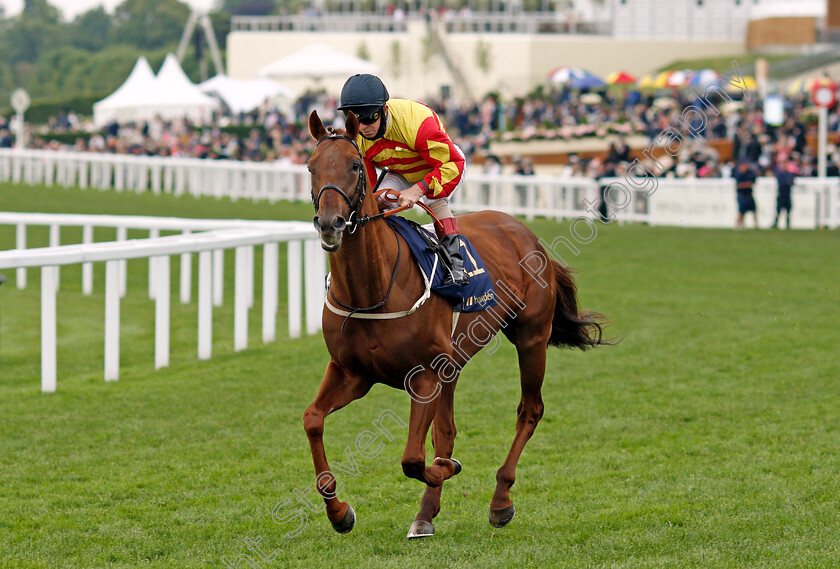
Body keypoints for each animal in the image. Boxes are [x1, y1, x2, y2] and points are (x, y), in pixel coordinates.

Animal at [306, 110, 608, 536]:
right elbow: (313, 420)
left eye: (353, 165)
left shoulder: (425, 375)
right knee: (446, 430)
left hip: (531, 337)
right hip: (455, 363)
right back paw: (426, 514)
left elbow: (413, 459)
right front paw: (339, 511)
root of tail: (525, 233)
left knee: (529, 410)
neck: (371, 290)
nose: (329, 223)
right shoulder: (352, 372)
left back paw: (500, 500)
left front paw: (448, 469)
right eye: (311, 166)